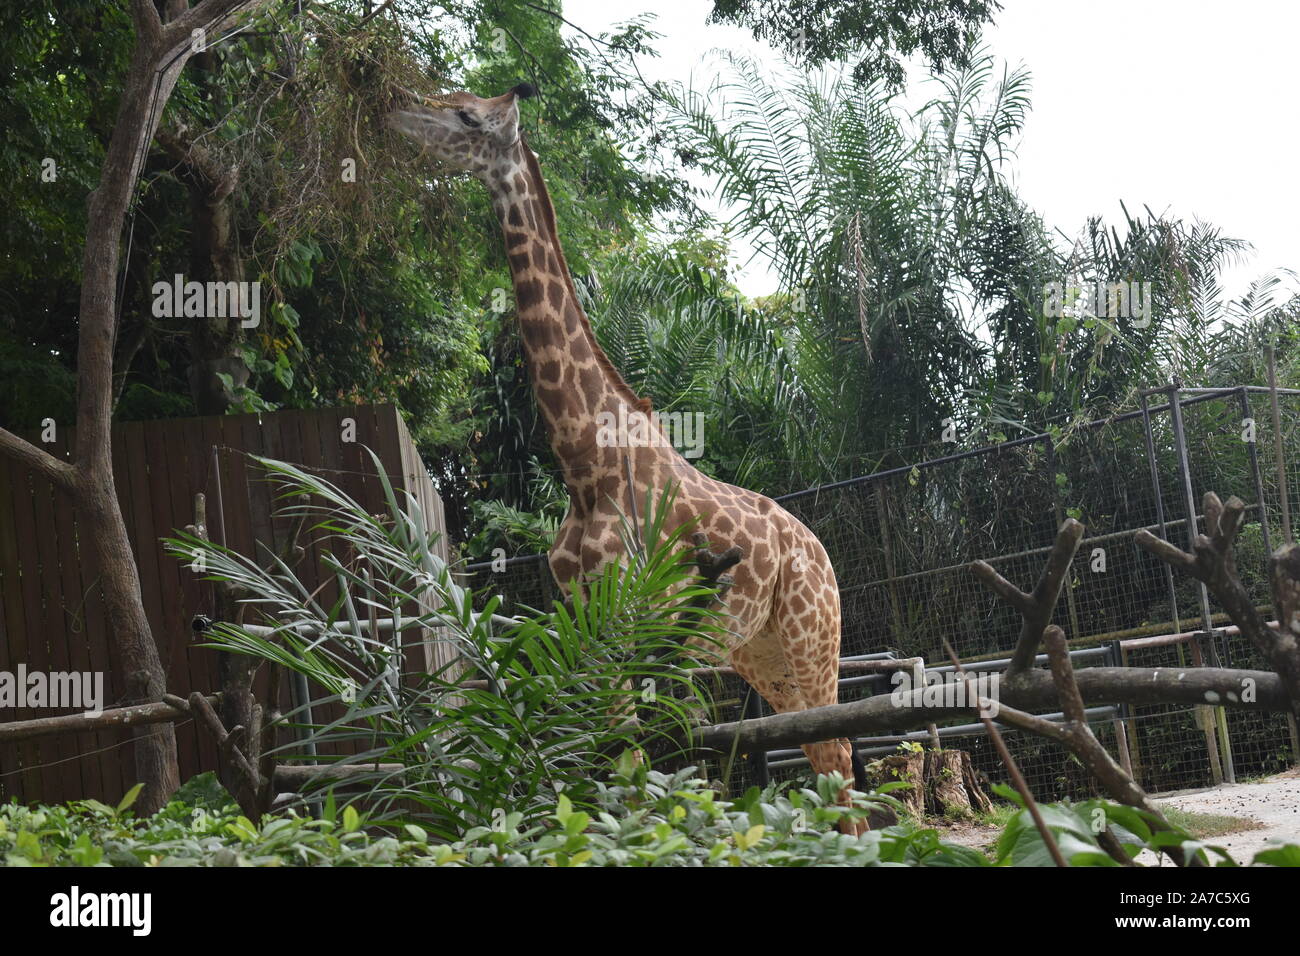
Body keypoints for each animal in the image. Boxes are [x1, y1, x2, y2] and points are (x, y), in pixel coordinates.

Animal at [390, 84, 872, 833]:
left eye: (467, 114)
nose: (395, 109)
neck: (583, 461)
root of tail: (821, 554)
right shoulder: (585, 624)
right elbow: (607, 773)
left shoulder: (626, 624)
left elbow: (630, 773)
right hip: (759, 652)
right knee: (824, 751)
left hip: (812, 635)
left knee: (840, 749)